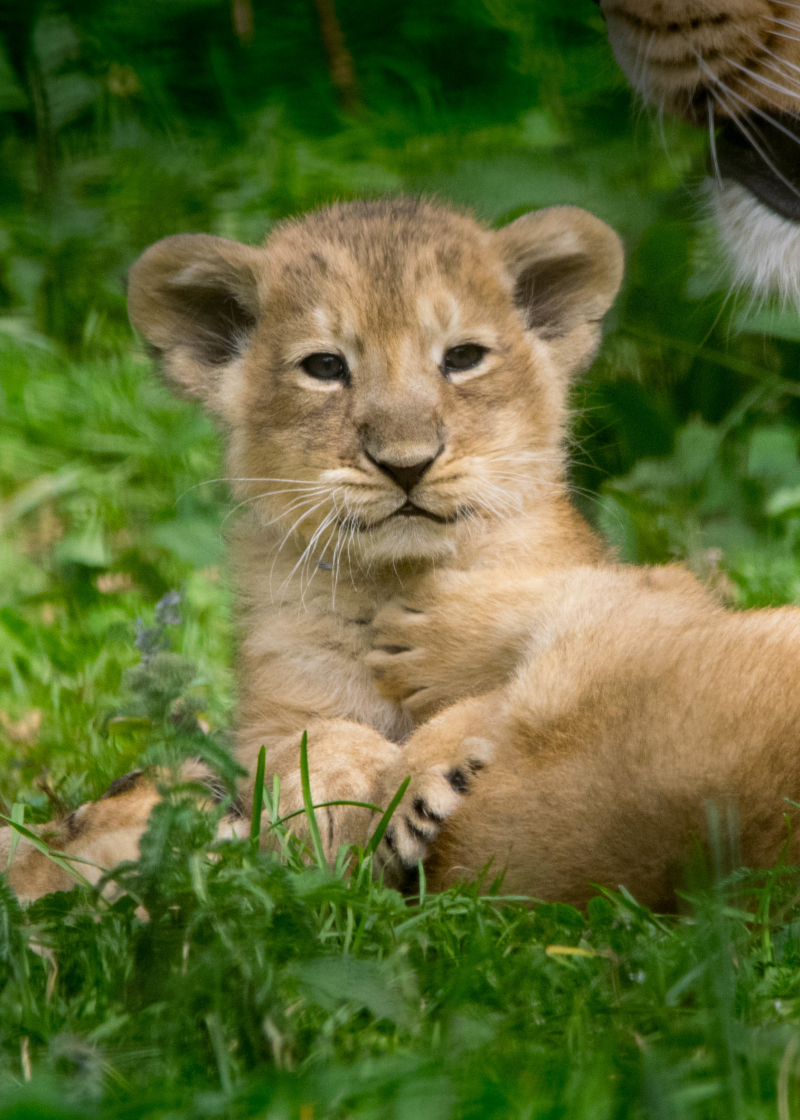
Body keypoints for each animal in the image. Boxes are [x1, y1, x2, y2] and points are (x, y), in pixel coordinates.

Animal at [7, 196, 800, 911]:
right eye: (325, 366)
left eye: (464, 358)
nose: (406, 464)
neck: (390, 580)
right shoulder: (274, 706)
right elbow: (307, 742)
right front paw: (340, 810)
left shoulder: (667, 606)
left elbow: (507, 676)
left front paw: (417, 779)